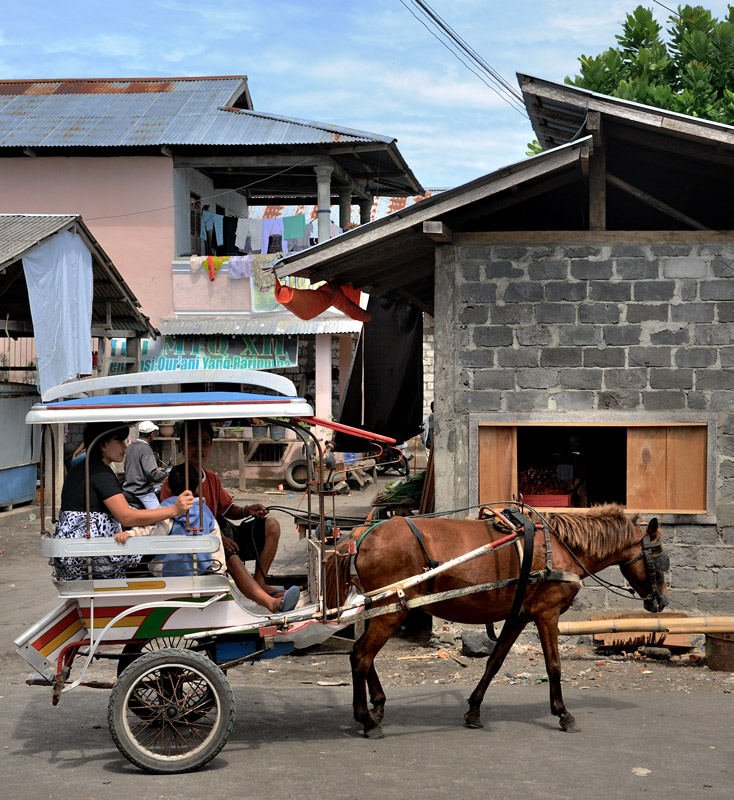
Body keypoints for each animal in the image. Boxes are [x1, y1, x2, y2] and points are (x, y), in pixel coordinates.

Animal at [324, 504, 668, 740]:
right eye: (660, 556)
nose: (661, 601)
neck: (559, 546)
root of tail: (362, 536)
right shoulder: (547, 613)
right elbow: (554, 666)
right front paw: (563, 713)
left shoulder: (519, 616)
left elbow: (495, 661)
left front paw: (474, 710)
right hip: (392, 609)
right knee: (361, 655)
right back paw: (367, 720)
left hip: (383, 608)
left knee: (362, 654)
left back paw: (377, 706)